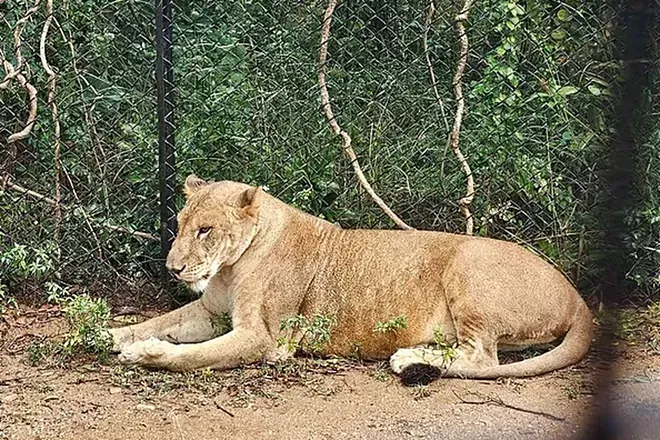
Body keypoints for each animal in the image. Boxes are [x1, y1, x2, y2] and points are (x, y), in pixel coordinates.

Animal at [108, 175, 592, 383]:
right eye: (179, 225)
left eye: (205, 230)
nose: (172, 268)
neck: (231, 264)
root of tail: (578, 299)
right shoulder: (209, 310)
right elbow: (156, 322)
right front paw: (111, 333)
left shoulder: (264, 338)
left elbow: (192, 355)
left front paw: (146, 354)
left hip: (468, 268)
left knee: (483, 359)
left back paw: (407, 360)